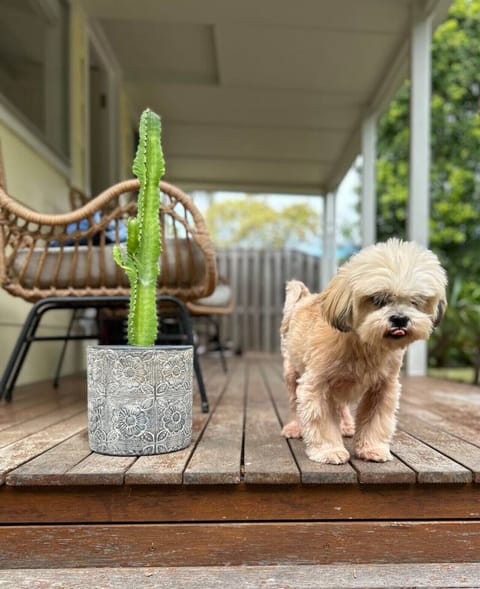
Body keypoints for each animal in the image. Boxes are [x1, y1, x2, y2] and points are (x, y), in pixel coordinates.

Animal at [280, 239, 448, 464]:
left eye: (415, 301)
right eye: (377, 299)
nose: (400, 319)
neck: (365, 344)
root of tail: (305, 298)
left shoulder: (383, 387)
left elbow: (375, 420)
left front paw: (372, 448)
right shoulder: (316, 384)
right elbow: (322, 420)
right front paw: (329, 450)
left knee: (340, 406)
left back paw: (346, 426)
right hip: (292, 373)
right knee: (294, 403)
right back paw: (294, 427)